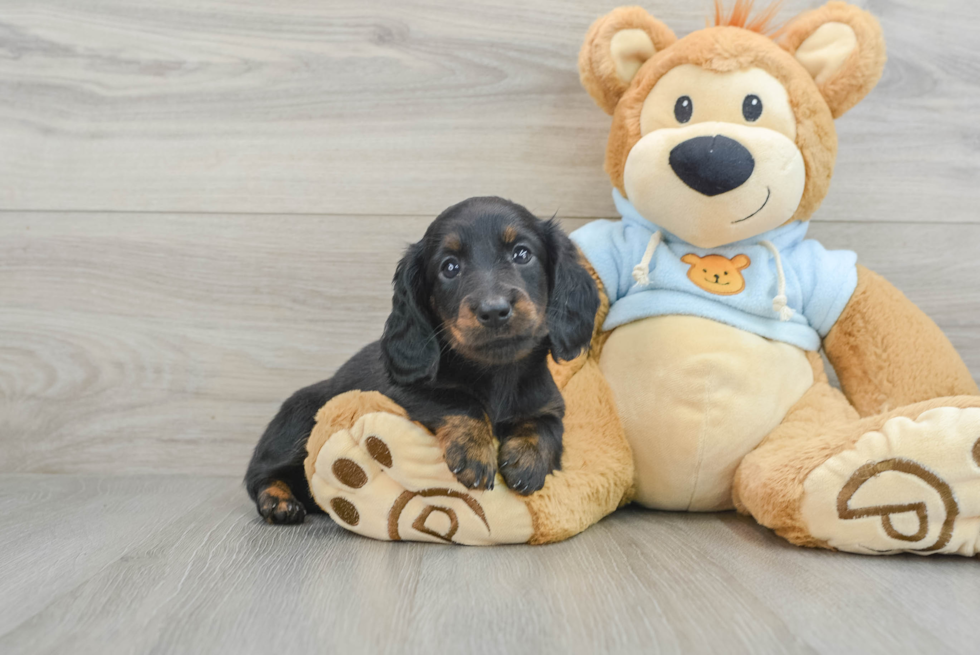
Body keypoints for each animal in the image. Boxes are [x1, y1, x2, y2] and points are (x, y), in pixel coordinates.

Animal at [244, 197, 596, 524]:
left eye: (522, 254)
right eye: (450, 267)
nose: (494, 310)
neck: (497, 372)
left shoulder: (548, 403)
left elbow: (547, 425)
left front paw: (528, 459)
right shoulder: (400, 390)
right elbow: (459, 400)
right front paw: (474, 451)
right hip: (301, 415)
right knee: (259, 475)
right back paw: (279, 502)